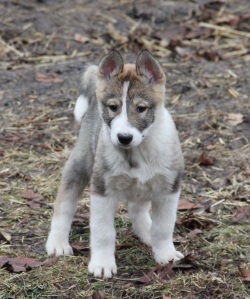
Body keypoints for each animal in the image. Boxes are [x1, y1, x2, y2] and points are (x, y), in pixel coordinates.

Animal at [46, 48, 185, 278]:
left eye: (141, 108)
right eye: (113, 107)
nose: (124, 137)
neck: (137, 152)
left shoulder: (169, 189)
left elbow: (163, 227)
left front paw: (166, 254)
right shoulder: (102, 190)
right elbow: (103, 232)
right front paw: (102, 264)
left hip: (145, 186)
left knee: (138, 209)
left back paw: (147, 233)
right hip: (80, 164)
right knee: (64, 204)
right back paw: (57, 242)